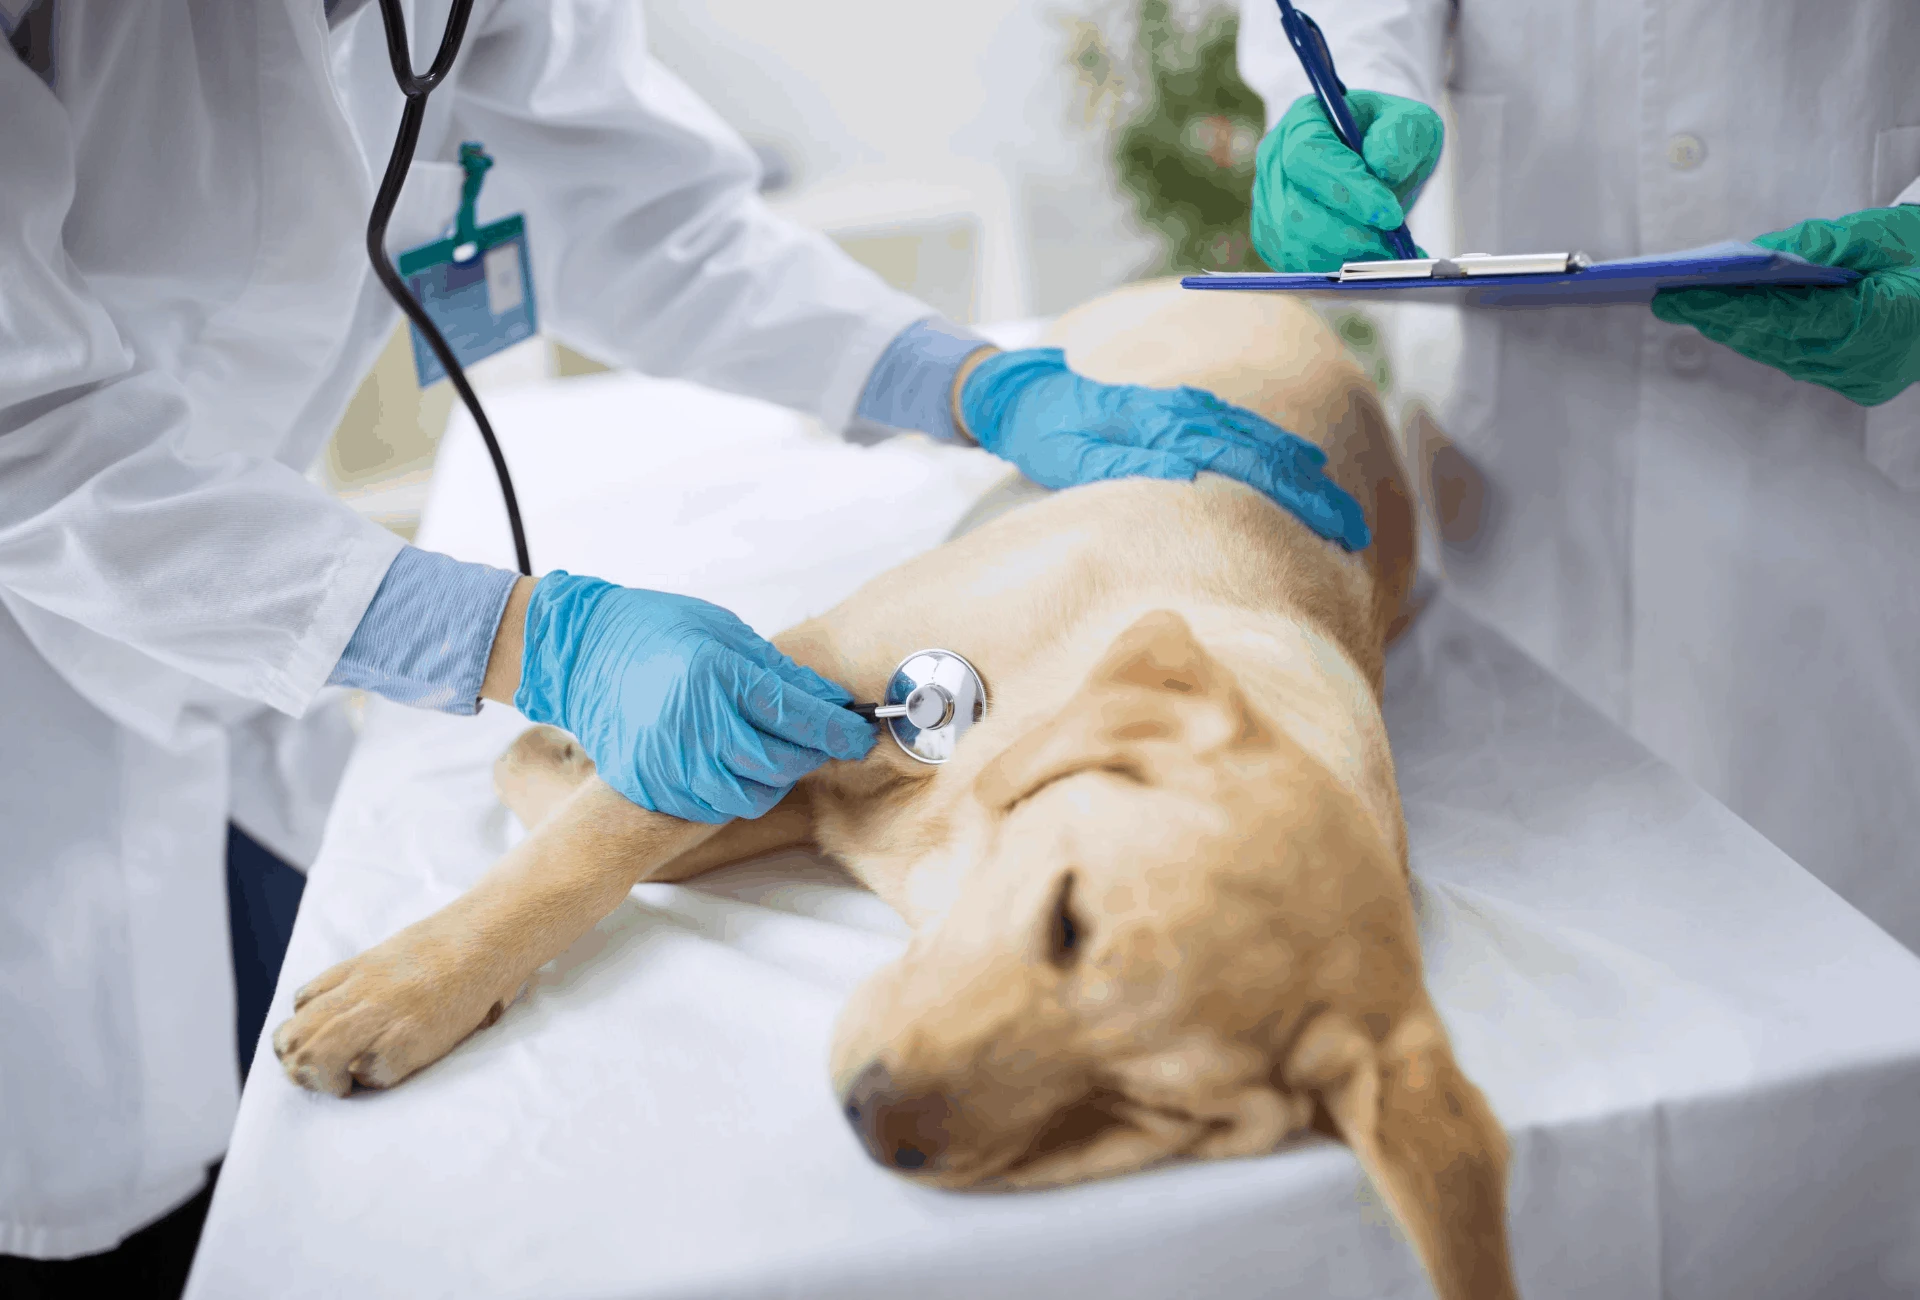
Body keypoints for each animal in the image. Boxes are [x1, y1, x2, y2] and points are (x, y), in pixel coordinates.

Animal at [278, 278, 1520, 1290]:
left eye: (1154, 1112)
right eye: (1068, 920)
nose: (876, 1123)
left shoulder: (769, 771)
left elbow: (606, 814)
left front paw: (555, 763)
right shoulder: (798, 671)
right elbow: (585, 849)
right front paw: (408, 984)